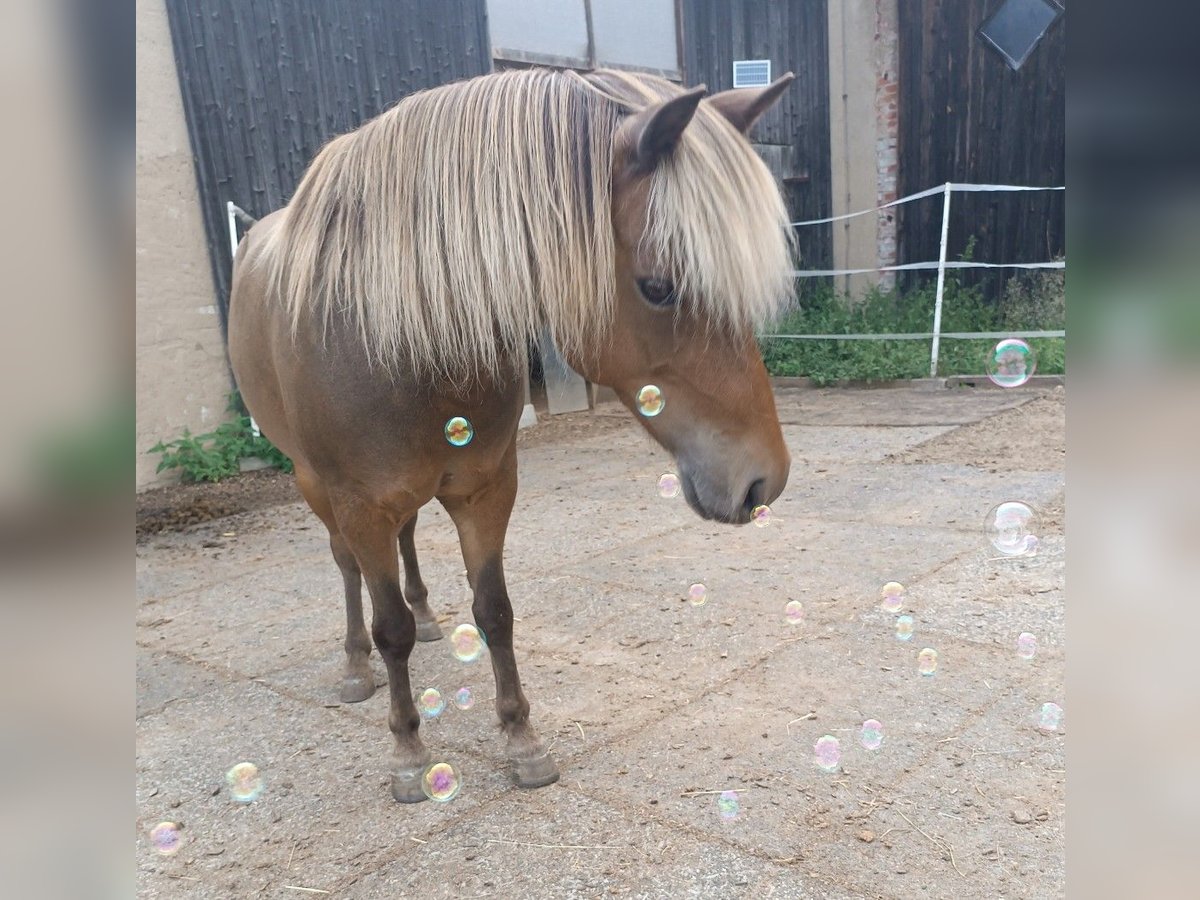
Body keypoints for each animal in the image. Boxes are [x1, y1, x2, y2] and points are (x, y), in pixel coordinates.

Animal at [230, 70, 801, 801]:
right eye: (657, 286)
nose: (764, 479)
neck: (398, 337)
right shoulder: (360, 504)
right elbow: (391, 629)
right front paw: (409, 751)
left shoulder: (485, 488)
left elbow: (494, 611)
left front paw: (521, 739)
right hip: (315, 486)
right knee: (349, 569)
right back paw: (356, 667)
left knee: (409, 544)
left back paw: (429, 618)